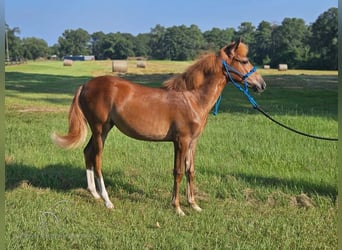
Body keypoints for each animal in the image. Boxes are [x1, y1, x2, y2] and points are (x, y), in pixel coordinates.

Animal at [51, 39, 264, 215]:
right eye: (244, 61)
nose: (262, 85)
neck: (192, 99)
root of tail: (85, 86)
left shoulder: (193, 142)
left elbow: (190, 171)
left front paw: (194, 204)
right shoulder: (181, 141)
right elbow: (178, 172)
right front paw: (177, 208)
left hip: (104, 129)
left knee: (87, 152)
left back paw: (94, 194)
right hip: (99, 129)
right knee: (97, 160)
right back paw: (107, 200)